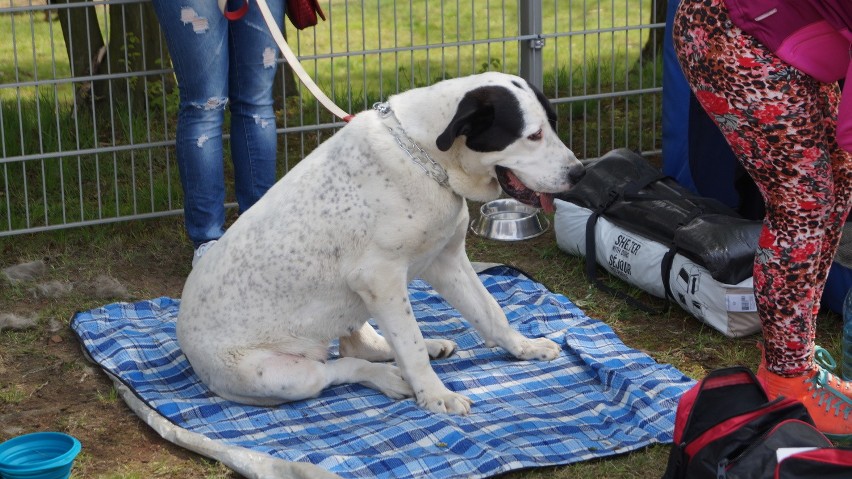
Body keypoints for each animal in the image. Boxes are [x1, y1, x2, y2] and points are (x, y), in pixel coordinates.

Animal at [180, 72, 584, 416]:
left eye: (553, 124)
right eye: (533, 135)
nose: (579, 173)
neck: (426, 155)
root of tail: (184, 343)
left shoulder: (448, 260)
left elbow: (490, 311)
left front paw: (524, 348)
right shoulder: (381, 279)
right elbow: (411, 344)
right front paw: (435, 395)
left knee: (357, 344)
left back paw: (425, 348)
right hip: (284, 375)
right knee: (340, 367)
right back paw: (392, 378)